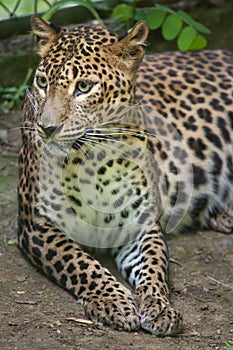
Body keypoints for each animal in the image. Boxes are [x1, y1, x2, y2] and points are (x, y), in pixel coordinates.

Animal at [18, 15, 233, 336]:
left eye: (83, 86)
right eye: (42, 82)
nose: (47, 128)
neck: (93, 159)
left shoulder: (140, 223)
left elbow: (154, 265)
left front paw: (158, 306)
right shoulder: (36, 224)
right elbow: (79, 261)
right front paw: (113, 301)